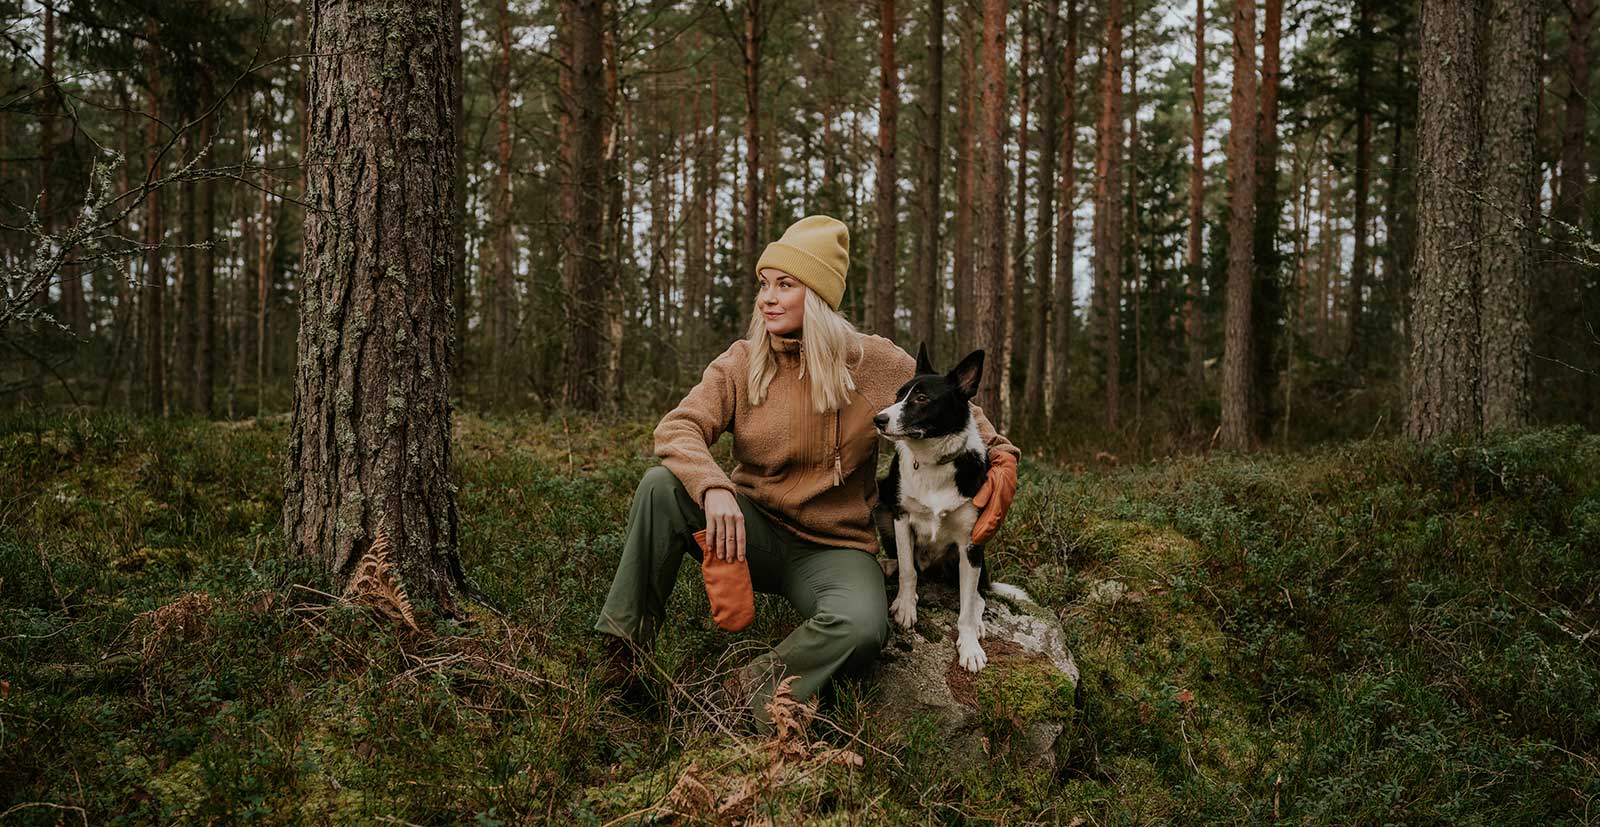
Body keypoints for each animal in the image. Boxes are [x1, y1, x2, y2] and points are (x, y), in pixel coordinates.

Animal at [876, 342, 1024, 671]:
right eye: (897, 395)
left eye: (921, 398)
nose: (878, 419)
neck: (933, 463)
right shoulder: (902, 517)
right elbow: (909, 571)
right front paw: (905, 606)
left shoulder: (971, 542)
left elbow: (966, 608)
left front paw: (969, 647)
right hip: (881, 508)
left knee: (979, 596)